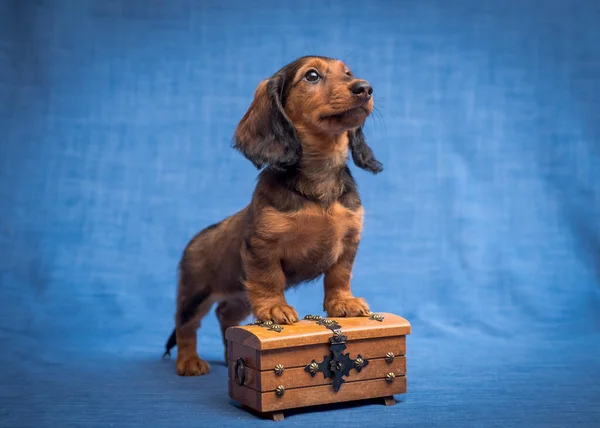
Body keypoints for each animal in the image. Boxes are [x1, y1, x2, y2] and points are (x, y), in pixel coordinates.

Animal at [163, 56, 384, 374]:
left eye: (348, 73)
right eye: (312, 76)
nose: (364, 88)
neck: (319, 176)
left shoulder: (349, 241)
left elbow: (339, 275)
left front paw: (343, 303)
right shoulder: (263, 245)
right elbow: (269, 279)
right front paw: (274, 307)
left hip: (239, 296)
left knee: (225, 315)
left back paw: (230, 356)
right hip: (195, 294)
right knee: (186, 326)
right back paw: (189, 361)